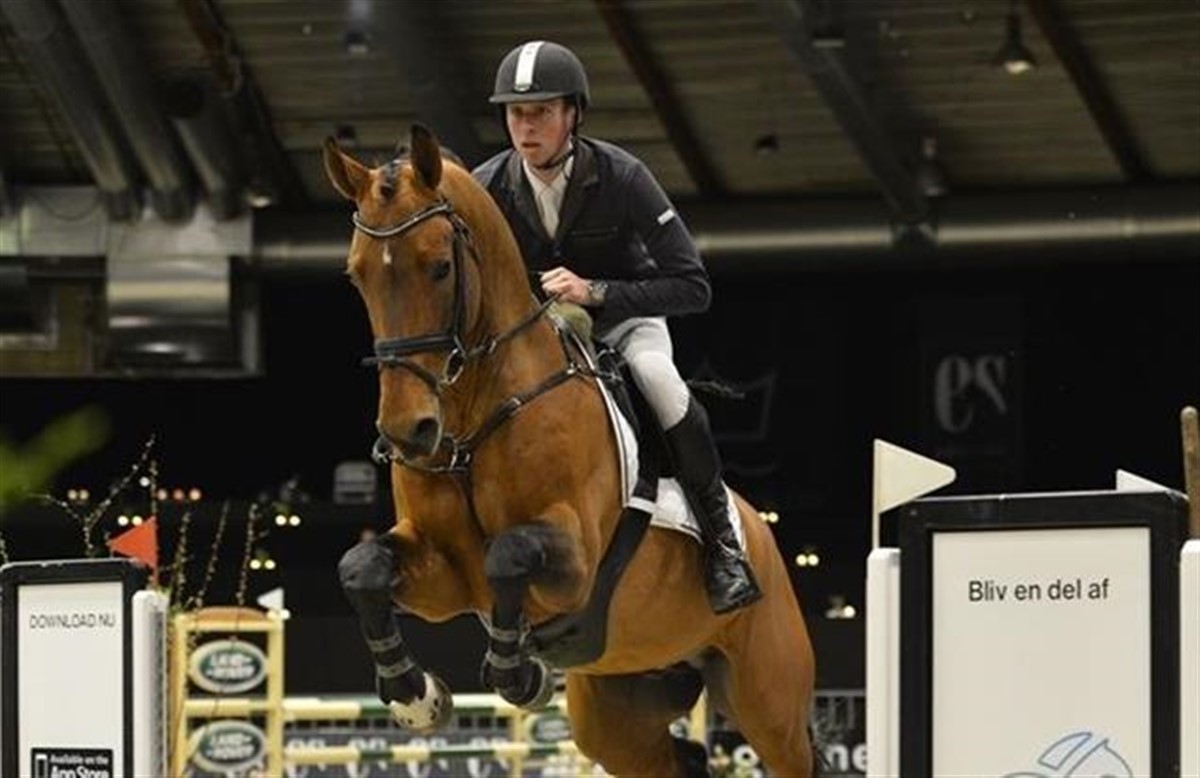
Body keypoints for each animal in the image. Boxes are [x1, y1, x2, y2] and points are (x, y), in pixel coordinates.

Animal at [324, 124, 816, 778]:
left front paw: (520, 672)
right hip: (620, 710)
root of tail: (761, 531)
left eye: (439, 268)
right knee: (674, 757)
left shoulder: (574, 561)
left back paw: (730, 571)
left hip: (769, 700)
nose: (410, 433)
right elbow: (362, 568)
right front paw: (416, 697)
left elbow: (507, 554)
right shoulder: (443, 573)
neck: (476, 418)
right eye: (357, 276)